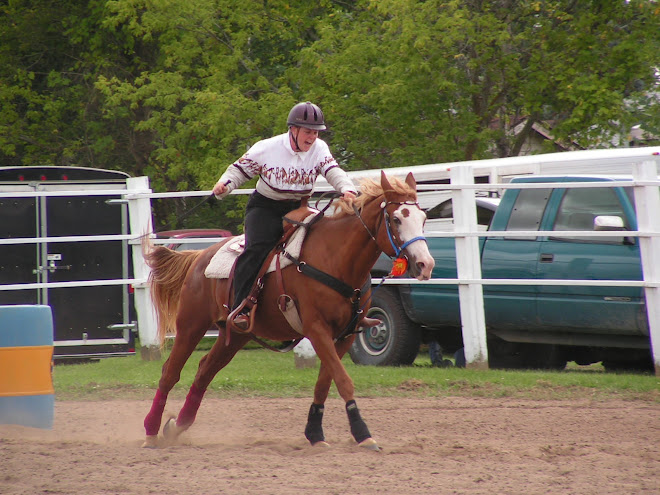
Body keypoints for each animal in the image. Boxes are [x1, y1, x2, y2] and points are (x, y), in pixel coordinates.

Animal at [141, 172, 434, 452]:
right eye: (396, 219)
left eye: (423, 218)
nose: (425, 264)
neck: (336, 259)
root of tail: (199, 257)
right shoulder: (317, 330)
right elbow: (343, 380)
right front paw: (363, 434)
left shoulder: (345, 335)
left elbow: (324, 383)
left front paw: (315, 434)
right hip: (191, 325)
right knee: (170, 373)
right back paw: (151, 431)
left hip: (235, 335)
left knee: (204, 372)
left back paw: (175, 426)